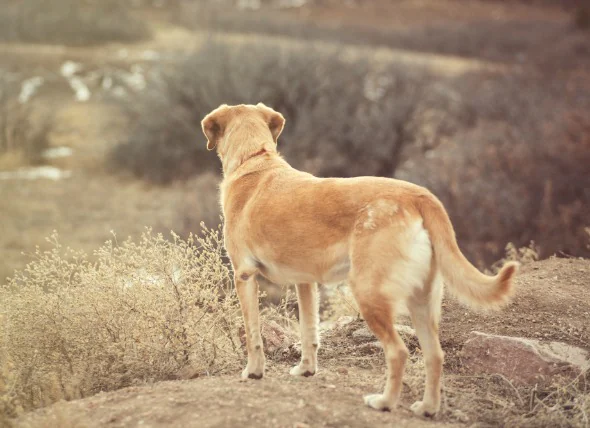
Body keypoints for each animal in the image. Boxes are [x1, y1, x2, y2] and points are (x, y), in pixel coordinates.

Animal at [202, 102, 520, 416]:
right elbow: (309, 331)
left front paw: (254, 372)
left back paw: (385, 402)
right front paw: (306, 370)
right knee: (435, 355)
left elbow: (253, 334)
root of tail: (418, 195)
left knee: (398, 352)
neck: (254, 158)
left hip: (369, 292)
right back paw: (427, 408)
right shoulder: (306, 283)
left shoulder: (244, 275)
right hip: (421, 301)